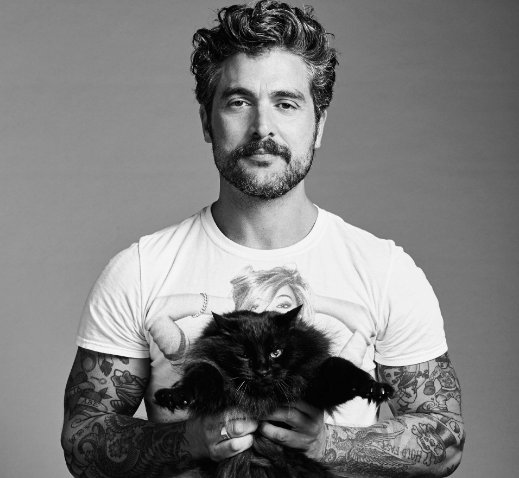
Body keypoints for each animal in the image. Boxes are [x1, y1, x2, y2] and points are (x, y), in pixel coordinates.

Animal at [154, 305, 393, 477]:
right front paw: (173, 396)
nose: (262, 371)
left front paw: (375, 388)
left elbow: (341, 367)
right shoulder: (209, 376)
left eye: (276, 352)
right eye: (243, 355)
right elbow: (198, 378)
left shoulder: (319, 384)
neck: (262, 398)